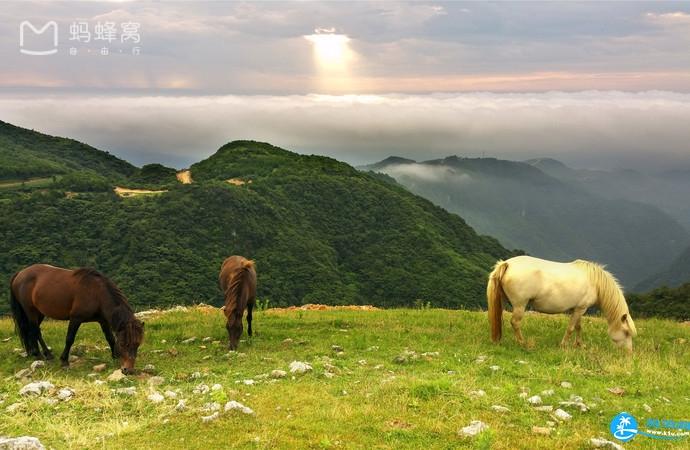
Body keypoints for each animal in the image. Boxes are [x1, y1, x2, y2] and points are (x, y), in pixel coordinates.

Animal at [9, 264, 144, 372]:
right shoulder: (75, 319)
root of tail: (20, 273)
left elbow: (110, 338)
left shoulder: (103, 321)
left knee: (31, 331)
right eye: (122, 343)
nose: (128, 370)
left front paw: (115, 357)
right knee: (35, 331)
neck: (96, 293)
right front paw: (64, 361)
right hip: (30, 311)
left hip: (39, 313)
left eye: (137, 344)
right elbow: (69, 339)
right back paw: (43, 354)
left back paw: (35, 353)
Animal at [484, 256, 636, 352]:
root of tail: (506, 264)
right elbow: (571, 328)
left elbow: (578, 327)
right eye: (626, 332)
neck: (595, 282)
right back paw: (523, 343)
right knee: (515, 322)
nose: (629, 353)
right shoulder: (580, 309)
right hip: (520, 305)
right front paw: (563, 345)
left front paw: (579, 345)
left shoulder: (578, 309)